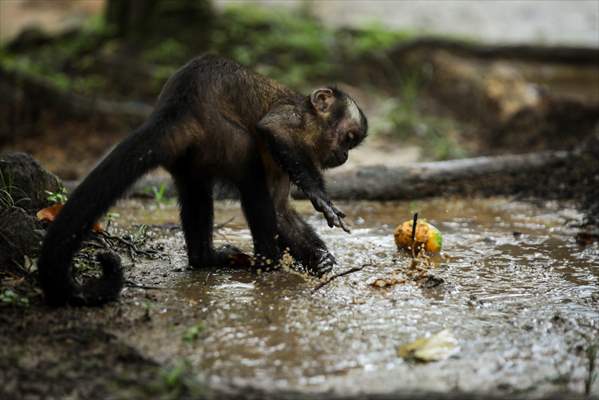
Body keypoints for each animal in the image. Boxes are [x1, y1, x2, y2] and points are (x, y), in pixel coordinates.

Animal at [37, 54, 368, 306]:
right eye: (348, 139)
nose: (344, 156)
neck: (310, 125)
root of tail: (176, 108)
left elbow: (281, 210)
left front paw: (319, 259)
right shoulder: (293, 120)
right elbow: (273, 129)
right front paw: (318, 196)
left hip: (187, 155)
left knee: (196, 190)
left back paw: (204, 259)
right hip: (224, 136)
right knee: (250, 173)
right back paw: (269, 263)